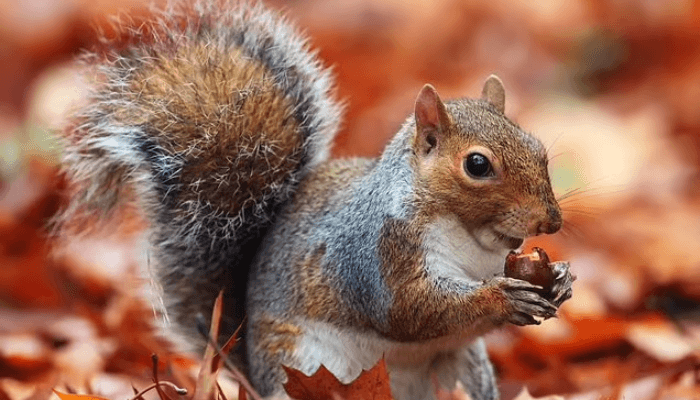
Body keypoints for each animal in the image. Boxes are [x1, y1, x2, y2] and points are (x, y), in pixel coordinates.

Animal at [59, 1, 574, 399]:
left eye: (538, 149)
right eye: (478, 165)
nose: (550, 222)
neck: (472, 240)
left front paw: (561, 280)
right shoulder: (374, 255)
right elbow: (410, 310)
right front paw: (499, 297)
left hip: (463, 367)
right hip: (305, 368)